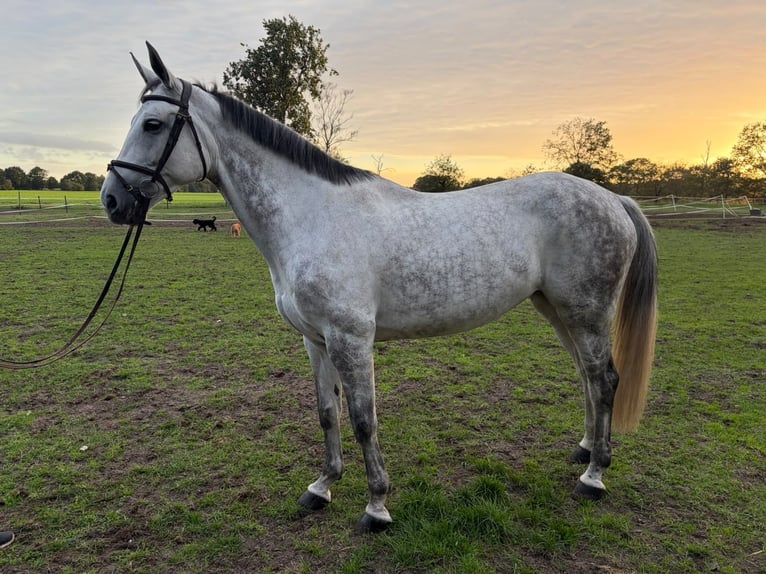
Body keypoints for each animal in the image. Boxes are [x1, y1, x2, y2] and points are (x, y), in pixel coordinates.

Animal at [101, 43, 658, 534]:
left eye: (152, 124)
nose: (112, 200)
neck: (312, 216)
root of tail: (613, 198)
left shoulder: (351, 339)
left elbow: (363, 419)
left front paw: (376, 507)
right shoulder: (315, 340)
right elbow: (327, 413)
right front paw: (322, 487)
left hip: (587, 311)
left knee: (605, 380)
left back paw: (594, 476)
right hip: (558, 309)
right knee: (587, 377)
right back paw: (584, 451)